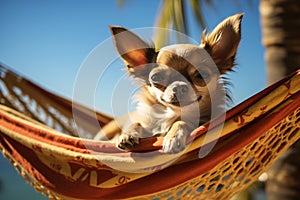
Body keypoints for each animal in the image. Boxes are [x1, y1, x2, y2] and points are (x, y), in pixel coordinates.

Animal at [96, 13, 244, 153]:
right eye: (156, 77)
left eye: (202, 75)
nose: (178, 87)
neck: (171, 115)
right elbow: (136, 123)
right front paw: (128, 134)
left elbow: (182, 122)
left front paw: (174, 137)